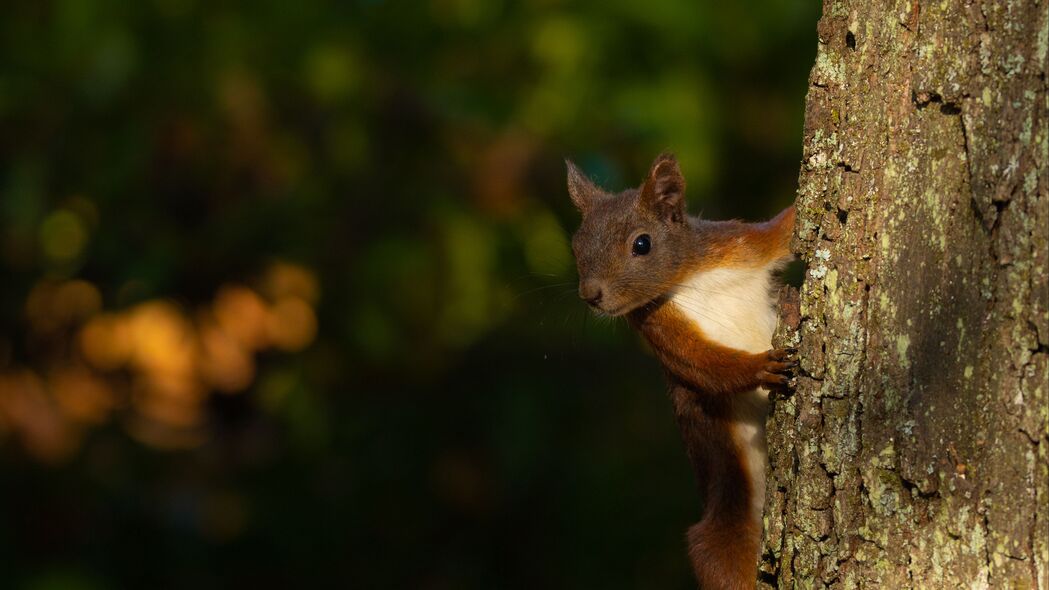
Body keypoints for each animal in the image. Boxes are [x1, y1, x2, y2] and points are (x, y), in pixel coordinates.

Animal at [566, 152, 793, 587]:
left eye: (642, 244)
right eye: (576, 246)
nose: (590, 296)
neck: (690, 278)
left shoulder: (740, 243)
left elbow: (782, 230)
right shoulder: (658, 328)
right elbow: (705, 366)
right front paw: (760, 366)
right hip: (723, 529)